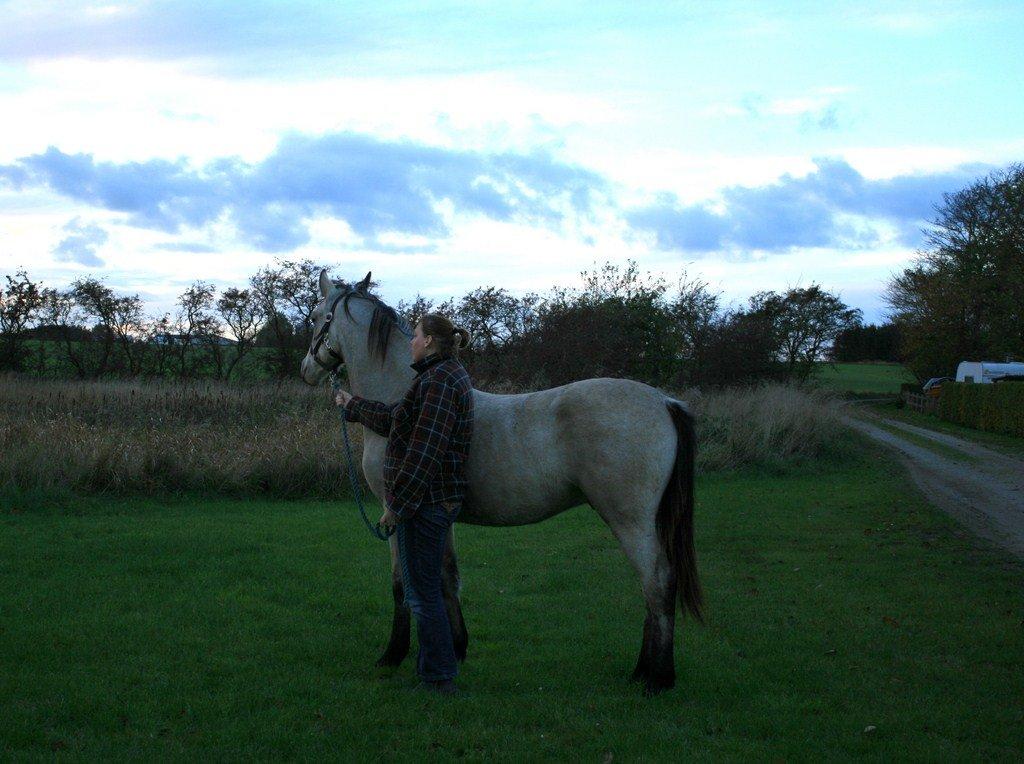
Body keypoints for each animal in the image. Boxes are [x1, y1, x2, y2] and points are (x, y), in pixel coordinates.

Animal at [299, 270, 700, 692]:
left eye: (315, 316)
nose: (306, 369)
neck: (397, 398)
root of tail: (664, 402)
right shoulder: (439, 514)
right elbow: (447, 578)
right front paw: (458, 647)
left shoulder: (396, 513)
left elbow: (402, 585)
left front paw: (392, 654)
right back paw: (642, 670)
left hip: (630, 521)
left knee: (657, 583)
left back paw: (658, 677)